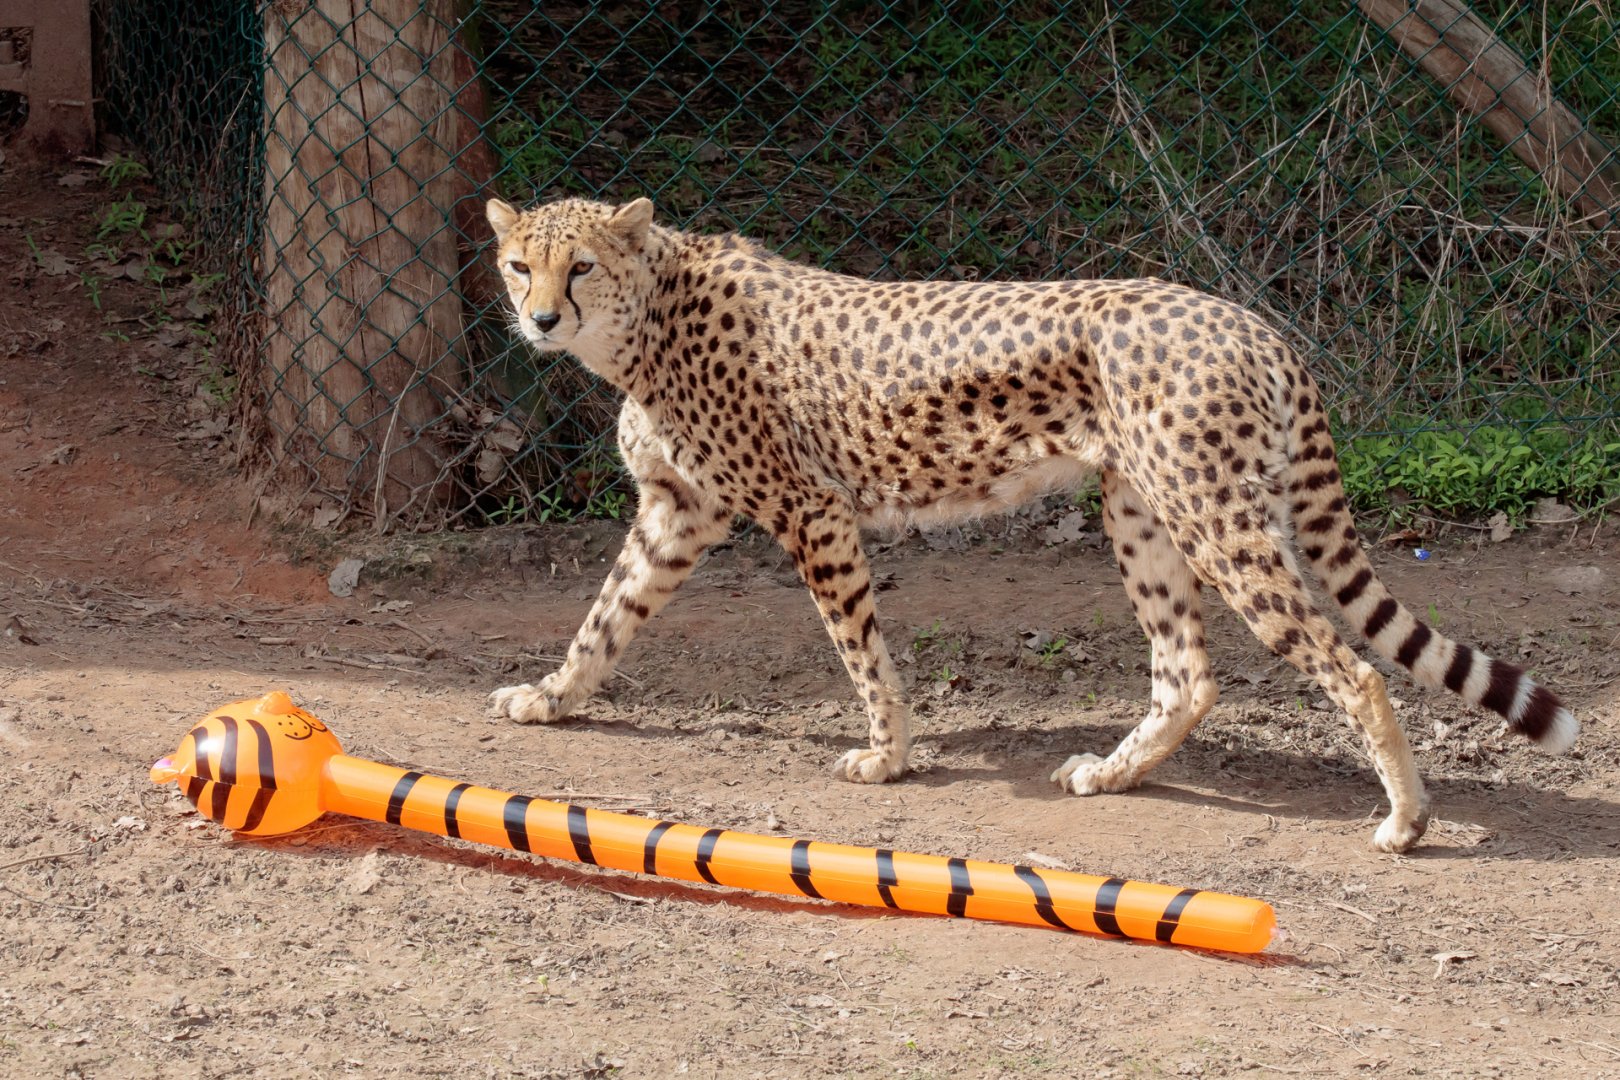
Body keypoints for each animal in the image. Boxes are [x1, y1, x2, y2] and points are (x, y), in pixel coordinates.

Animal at [482, 194, 1577, 853]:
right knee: (1188, 672)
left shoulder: (811, 510)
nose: (538, 320)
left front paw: (888, 755)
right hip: (1141, 511)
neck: (647, 321)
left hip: (1214, 517)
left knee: (1348, 667)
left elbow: (859, 650)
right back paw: (1114, 773)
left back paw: (1406, 819)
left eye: (581, 267)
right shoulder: (678, 512)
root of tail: (1246, 318)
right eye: (517, 265)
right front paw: (550, 696)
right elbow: (603, 620)